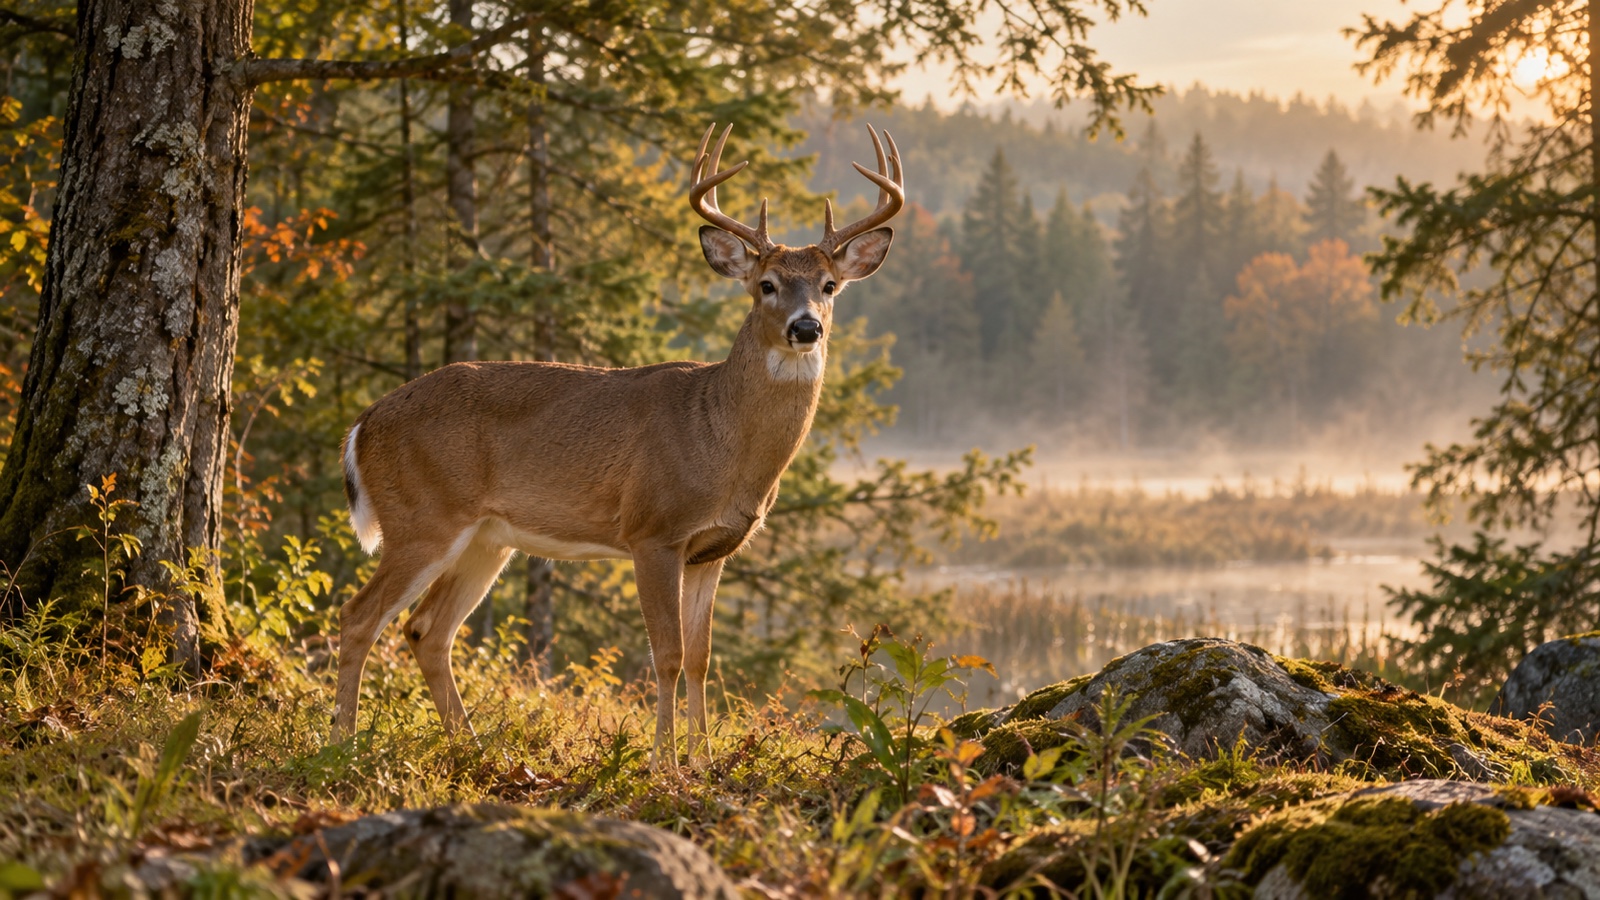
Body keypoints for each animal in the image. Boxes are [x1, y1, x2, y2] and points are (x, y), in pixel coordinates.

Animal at [331, 123, 904, 768]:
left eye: (830, 285)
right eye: (767, 285)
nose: (806, 327)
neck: (720, 439)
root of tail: (364, 423)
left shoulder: (713, 549)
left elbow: (702, 658)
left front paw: (704, 763)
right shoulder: (652, 529)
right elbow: (668, 655)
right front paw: (664, 767)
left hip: (486, 539)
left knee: (427, 630)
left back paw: (475, 750)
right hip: (422, 517)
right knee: (359, 618)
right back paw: (341, 745)